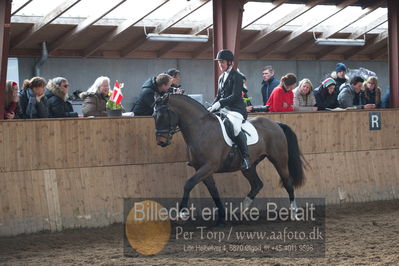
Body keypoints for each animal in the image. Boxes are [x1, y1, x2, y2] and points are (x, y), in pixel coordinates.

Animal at [153, 94, 306, 223]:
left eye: (163, 115)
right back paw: (241, 210)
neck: (201, 129)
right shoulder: (201, 168)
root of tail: (276, 124)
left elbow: (188, 183)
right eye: (154, 115)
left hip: (279, 160)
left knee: (287, 182)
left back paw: (293, 213)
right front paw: (222, 217)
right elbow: (213, 191)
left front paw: (182, 213)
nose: (161, 142)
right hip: (249, 166)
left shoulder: (209, 166)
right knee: (257, 184)